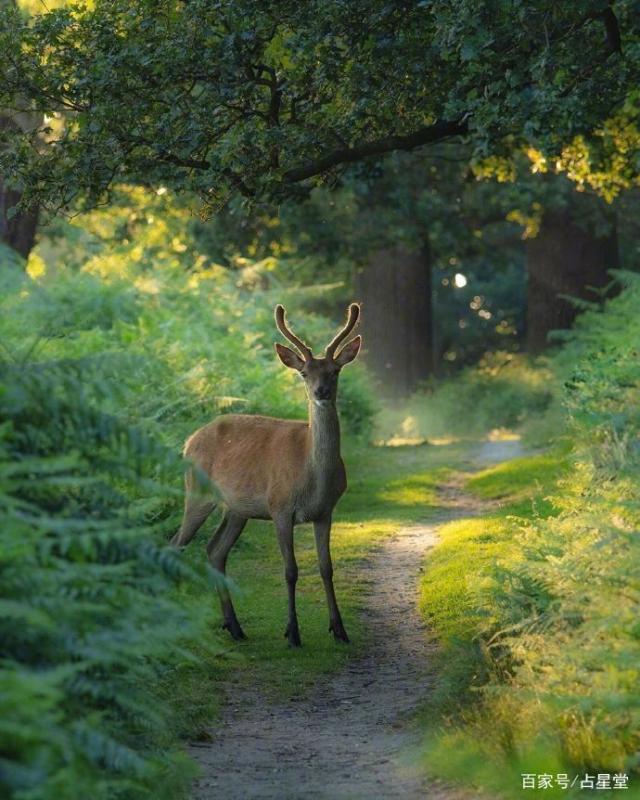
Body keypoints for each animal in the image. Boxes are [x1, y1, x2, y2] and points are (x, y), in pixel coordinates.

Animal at [170, 304, 362, 648]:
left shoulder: (326, 511)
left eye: (335, 371)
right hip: (198, 493)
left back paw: (234, 626)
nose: (321, 391)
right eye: (304, 373)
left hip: (237, 509)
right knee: (176, 544)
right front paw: (293, 633)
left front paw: (339, 630)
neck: (312, 478)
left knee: (214, 550)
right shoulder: (279, 506)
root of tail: (188, 440)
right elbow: (290, 570)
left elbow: (326, 567)